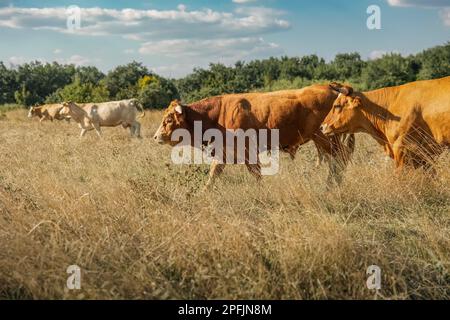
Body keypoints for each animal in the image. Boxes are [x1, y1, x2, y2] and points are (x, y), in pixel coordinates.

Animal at [153, 85, 354, 188]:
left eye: (169, 119)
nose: (155, 137)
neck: (216, 116)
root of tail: (327, 85)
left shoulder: (248, 151)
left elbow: (256, 175)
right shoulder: (223, 154)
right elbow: (212, 176)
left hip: (326, 138)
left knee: (340, 159)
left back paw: (332, 184)